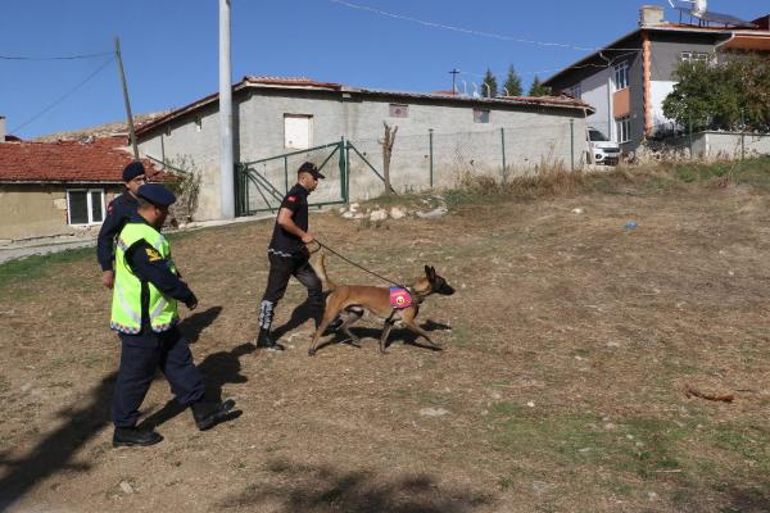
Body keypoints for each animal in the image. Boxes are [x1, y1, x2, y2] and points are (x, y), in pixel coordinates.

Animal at [308, 250, 452, 354]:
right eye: (443, 283)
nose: (454, 290)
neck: (413, 292)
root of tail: (338, 287)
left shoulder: (389, 321)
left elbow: (383, 338)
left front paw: (382, 351)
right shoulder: (408, 322)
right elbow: (426, 334)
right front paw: (437, 345)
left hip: (357, 313)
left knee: (343, 327)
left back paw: (356, 339)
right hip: (330, 315)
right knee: (319, 331)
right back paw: (311, 349)